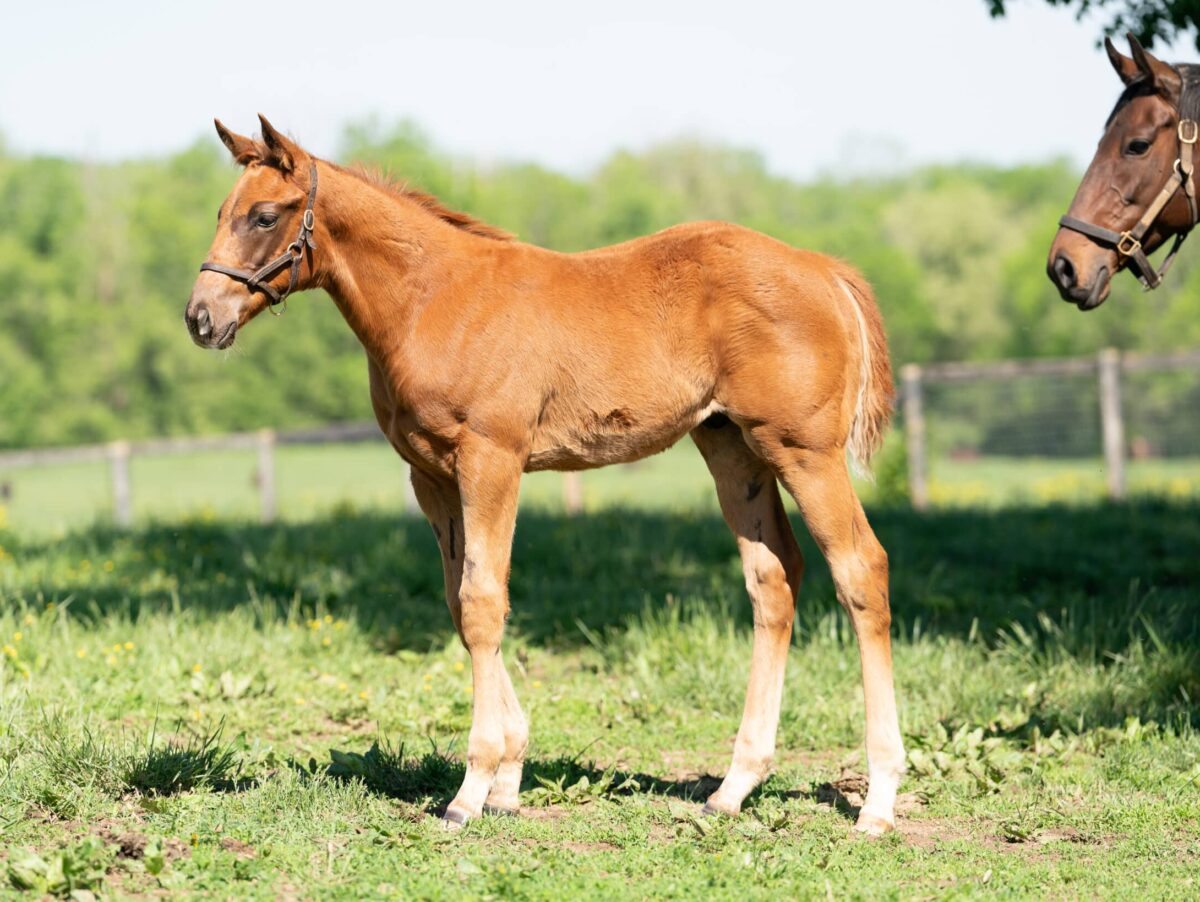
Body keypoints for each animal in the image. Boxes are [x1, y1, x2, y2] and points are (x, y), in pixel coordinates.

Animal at [182, 116, 902, 834]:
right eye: (219, 212)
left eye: (264, 215)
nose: (200, 318)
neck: (434, 299)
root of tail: (825, 270)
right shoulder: (431, 478)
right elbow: (462, 602)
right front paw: (507, 778)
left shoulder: (492, 459)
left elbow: (482, 602)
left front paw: (471, 789)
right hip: (732, 447)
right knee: (774, 578)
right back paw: (734, 786)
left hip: (804, 450)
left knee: (860, 568)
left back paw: (878, 800)